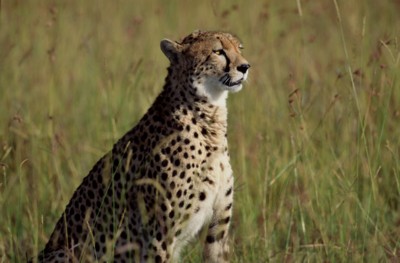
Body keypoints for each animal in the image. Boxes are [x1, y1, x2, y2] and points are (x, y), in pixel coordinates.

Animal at [32, 29, 250, 262]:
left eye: (239, 48)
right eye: (218, 52)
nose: (245, 67)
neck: (210, 120)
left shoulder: (217, 230)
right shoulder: (158, 237)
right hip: (65, 252)